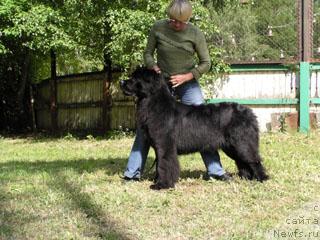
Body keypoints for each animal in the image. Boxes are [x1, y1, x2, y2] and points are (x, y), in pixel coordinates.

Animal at [121, 67, 268, 189]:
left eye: (135, 78)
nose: (122, 82)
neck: (154, 104)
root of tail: (250, 112)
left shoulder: (166, 145)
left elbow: (165, 164)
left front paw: (162, 185)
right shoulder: (159, 146)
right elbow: (159, 165)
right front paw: (157, 181)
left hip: (242, 143)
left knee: (254, 160)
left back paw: (261, 179)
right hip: (232, 147)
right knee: (243, 162)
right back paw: (247, 178)